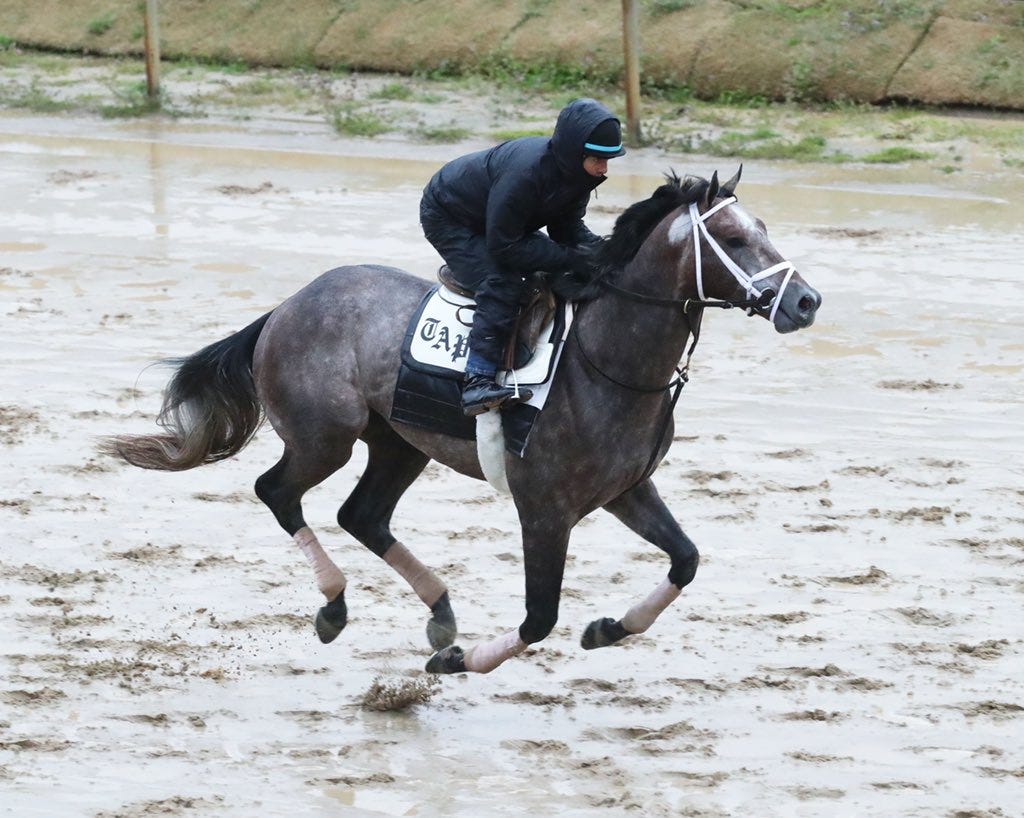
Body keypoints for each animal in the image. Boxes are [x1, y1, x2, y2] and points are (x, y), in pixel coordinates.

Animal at [100, 168, 821, 675]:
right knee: (277, 492)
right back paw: (335, 605)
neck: (608, 360)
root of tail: (285, 307)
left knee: (362, 514)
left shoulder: (625, 490)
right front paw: (456, 662)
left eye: (763, 227)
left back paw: (440, 611)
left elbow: (686, 559)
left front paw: (607, 628)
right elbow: (539, 618)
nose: (806, 301)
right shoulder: (545, 509)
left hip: (399, 443)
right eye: (733, 239)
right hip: (325, 436)